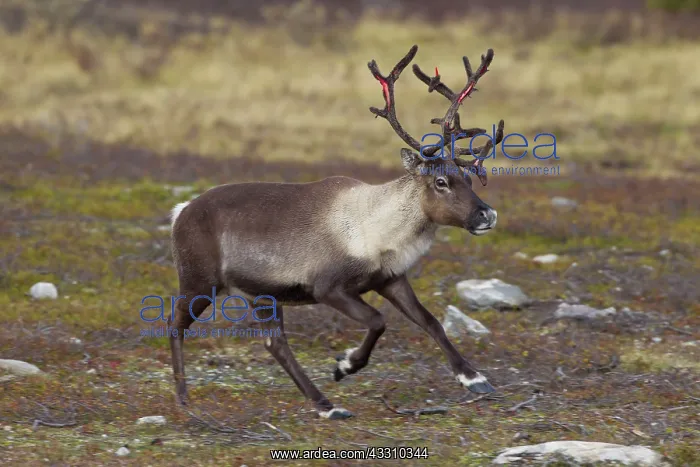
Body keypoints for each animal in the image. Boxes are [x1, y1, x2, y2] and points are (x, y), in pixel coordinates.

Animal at [168, 44, 505, 420]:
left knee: (275, 342)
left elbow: (432, 322)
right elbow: (377, 320)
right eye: (441, 182)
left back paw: (326, 406)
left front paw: (474, 378)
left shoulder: (390, 279)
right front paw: (345, 365)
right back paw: (183, 397)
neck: (380, 230)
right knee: (175, 325)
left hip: (260, 294)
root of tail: (181, 211)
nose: (487, 214)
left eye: (470, 179)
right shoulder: (328, 286)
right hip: (200, 280)